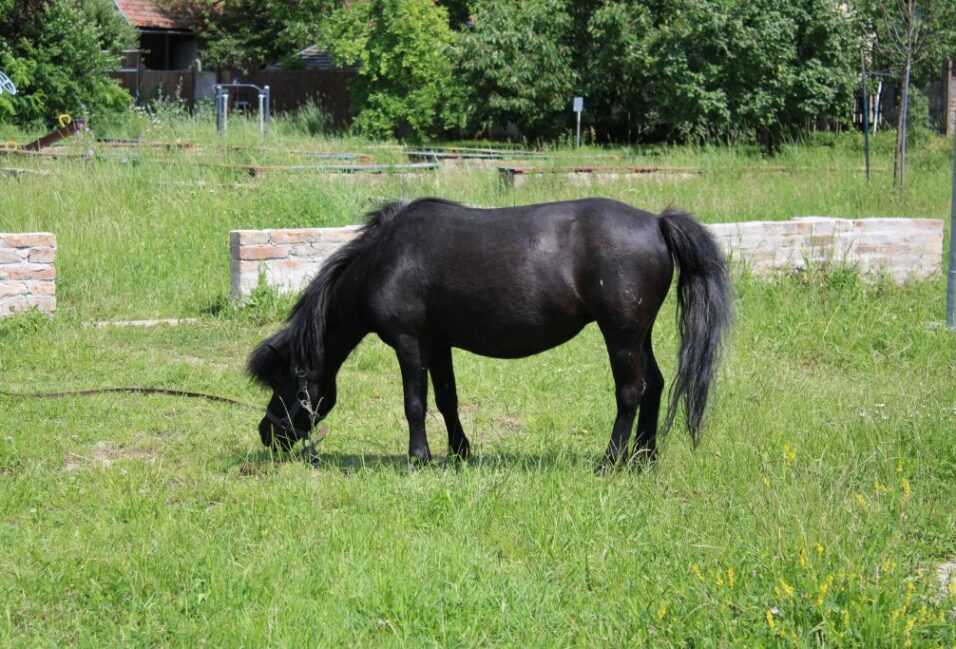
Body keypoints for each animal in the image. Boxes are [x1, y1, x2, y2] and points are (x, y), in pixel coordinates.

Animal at [246, 195, 732, 468]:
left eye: (283, 381)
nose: (267, 433)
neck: (385, 259)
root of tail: (657, 222)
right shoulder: (437, 343)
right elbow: (447, 399)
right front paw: (460, 454)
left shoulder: (408, 343)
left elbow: (415, 403)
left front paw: (418, 458)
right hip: (637, 334)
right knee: (655, 385)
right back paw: (644, 459)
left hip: (621, 334)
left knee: (631, 391)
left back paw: (611, 462)